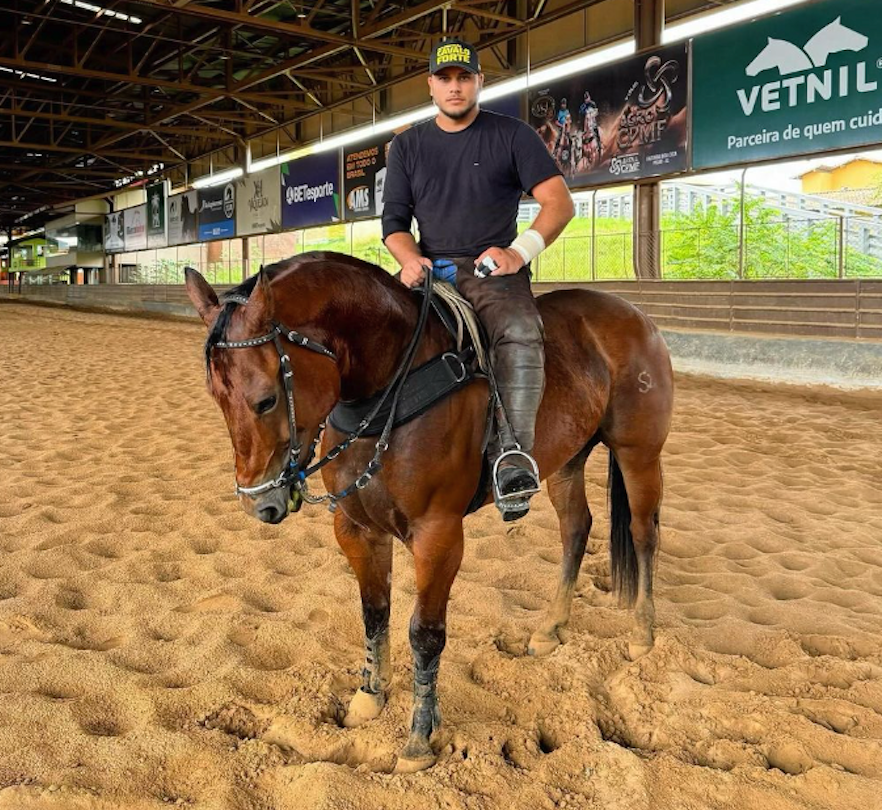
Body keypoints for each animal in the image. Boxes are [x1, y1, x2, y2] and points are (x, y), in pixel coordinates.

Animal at [182, 252, 672, 772]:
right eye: (216, 397)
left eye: (266, 399)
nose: (261, 503)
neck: (387, 389)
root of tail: (633, 315)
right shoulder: (355, 528)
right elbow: (374, 611)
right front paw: (369, 696)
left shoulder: (439, 535)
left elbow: (425, 633)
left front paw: (419, 737)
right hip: (567, 460)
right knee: (576, 529)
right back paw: (550, 628)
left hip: (639, 453)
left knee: (643, 533)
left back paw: (642, 633)